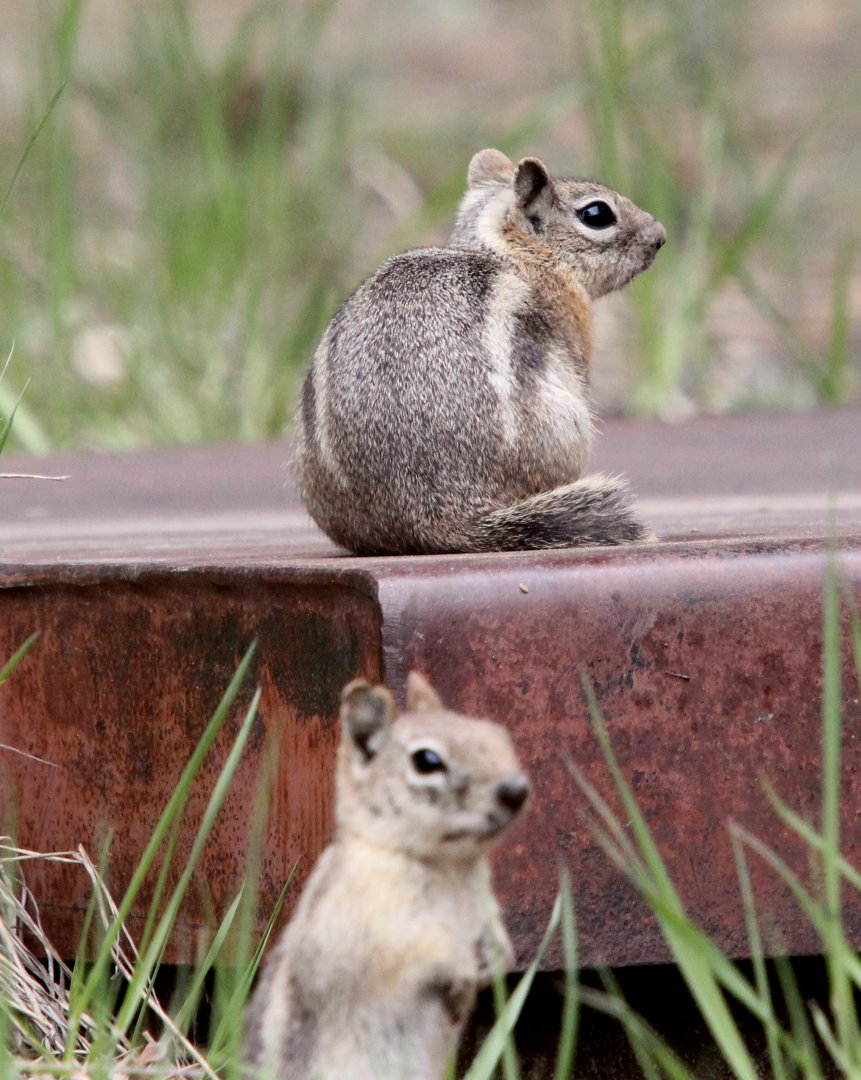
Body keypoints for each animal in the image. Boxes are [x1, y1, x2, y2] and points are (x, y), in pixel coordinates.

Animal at [243, 671, 530, 1080]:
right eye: (427, 761)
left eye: (498, 733)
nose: (516, 790)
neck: (446, 864)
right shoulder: (370, 931)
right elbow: (418, 951)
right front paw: (460, 971)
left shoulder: (483, 909)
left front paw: (498, 955)